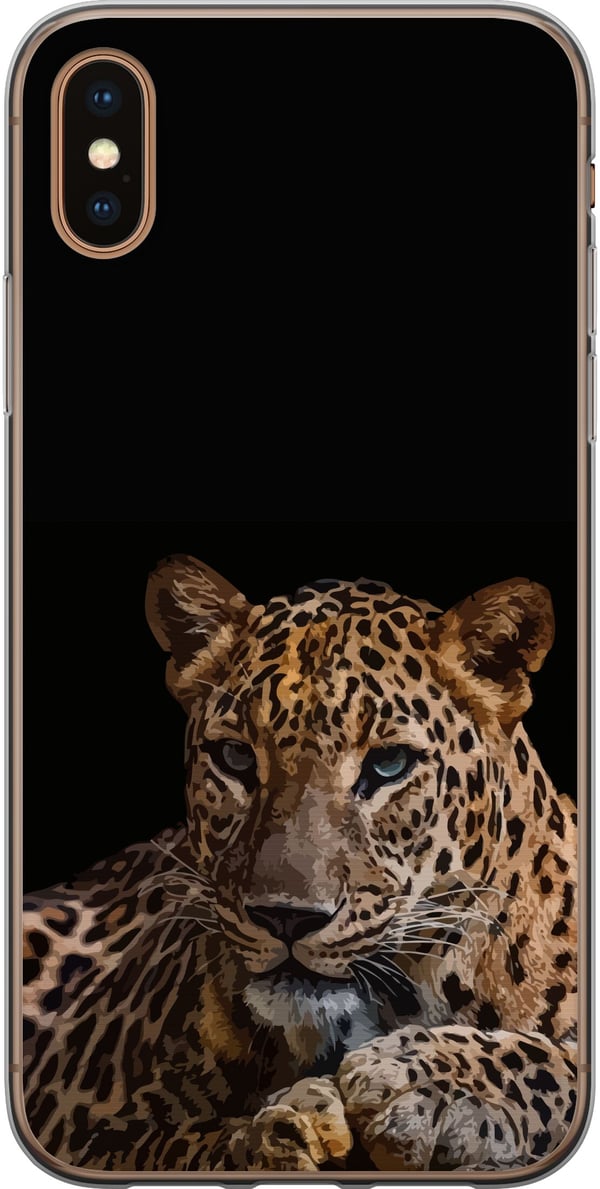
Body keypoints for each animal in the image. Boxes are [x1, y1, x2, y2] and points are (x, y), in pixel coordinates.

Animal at [20, 555, 578, 1175]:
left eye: (389, 764)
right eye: (236, 757)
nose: (286, 918)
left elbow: (562, 1064)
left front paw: (422, 1081)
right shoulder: (80, 1124)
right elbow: (181, 1147)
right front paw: (282, 1132)